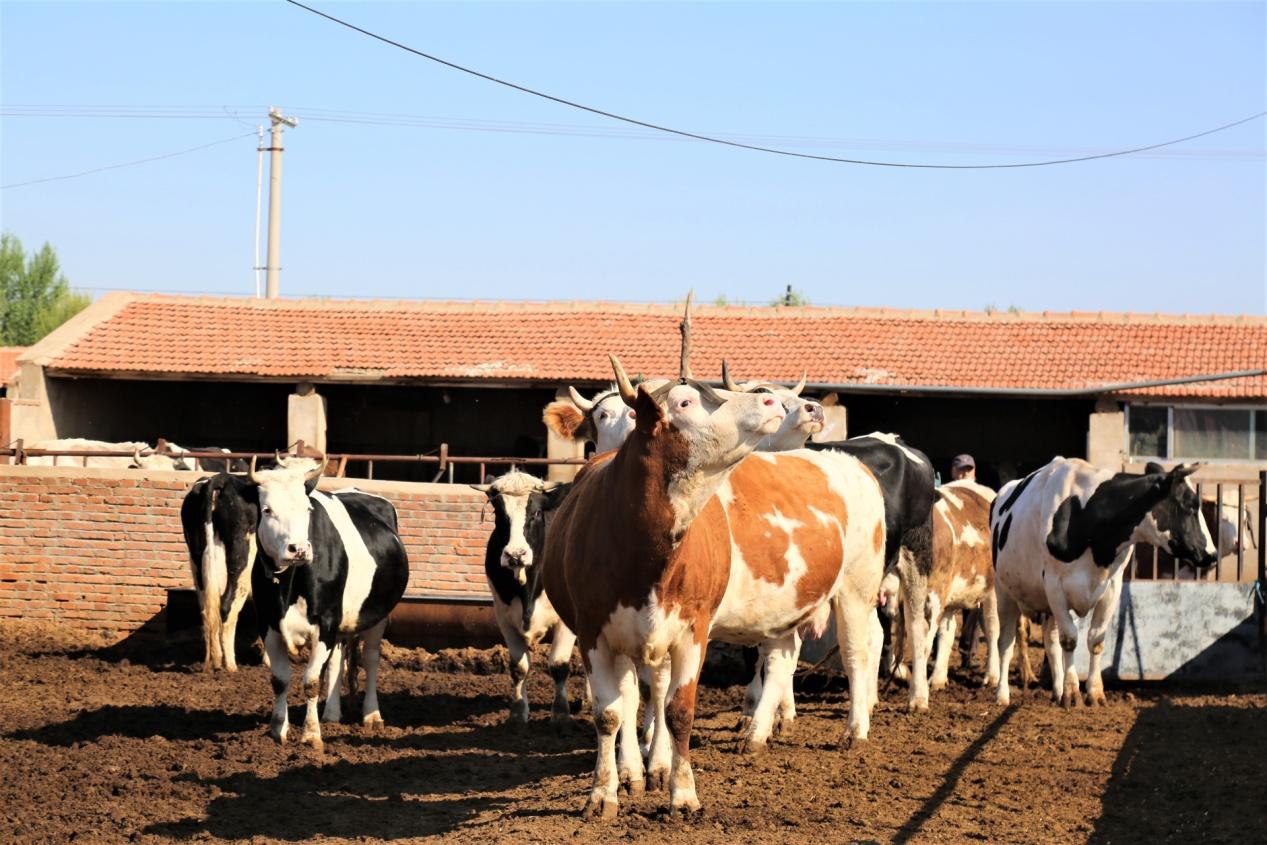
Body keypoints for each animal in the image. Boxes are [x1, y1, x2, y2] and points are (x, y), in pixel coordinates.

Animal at [178, 473, 259, 668]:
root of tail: (218, 479)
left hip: (198, 563)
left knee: (206, 611)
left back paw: (211, 661)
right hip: (241, 563)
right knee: (228, 606)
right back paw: (229, 665)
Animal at [473, 473, 577, 724]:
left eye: (537, 512)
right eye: (499, 513)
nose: (515, 554)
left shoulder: (565, 621)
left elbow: (559, 665)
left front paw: (561, 713)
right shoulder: (504, 618)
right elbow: (519, 667)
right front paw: (518, 712)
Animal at [988, 456, 1216, 709]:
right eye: (1191, 505)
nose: (1212, 554)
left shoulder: (1112, 587)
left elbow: (1095, 640)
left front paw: (1094, 692)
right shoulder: (1055, 586)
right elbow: (1070, 639)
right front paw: (1072, 693)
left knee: (1051, 642)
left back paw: (1057, 691)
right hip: (1004, 590)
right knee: (1005, 642)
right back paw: (1002, 694)